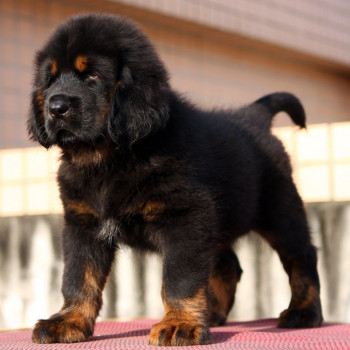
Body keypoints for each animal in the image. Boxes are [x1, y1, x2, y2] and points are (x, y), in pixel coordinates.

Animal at [28, 13, 322, 348]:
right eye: (49, 80)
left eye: (91, 75)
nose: (55, 107)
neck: (110, 158)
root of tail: (254, 115)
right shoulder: (83, 224)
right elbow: (79, 277)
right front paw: (69, 321)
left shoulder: (185, 218)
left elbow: (180, 278)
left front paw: (180, 323)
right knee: (228, 265)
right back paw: (213, 313)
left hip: (280, 211)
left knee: (301, 257)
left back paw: (303, 313)